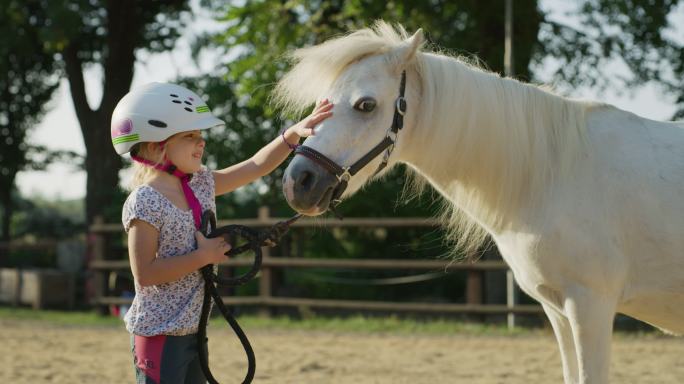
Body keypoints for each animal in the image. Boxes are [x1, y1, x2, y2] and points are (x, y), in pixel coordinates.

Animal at [276, 22, 684, 382]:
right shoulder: (559, 310)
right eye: (323, 103)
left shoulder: (590, 306)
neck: (554, 172)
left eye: (366, 105)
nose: (299, 182)